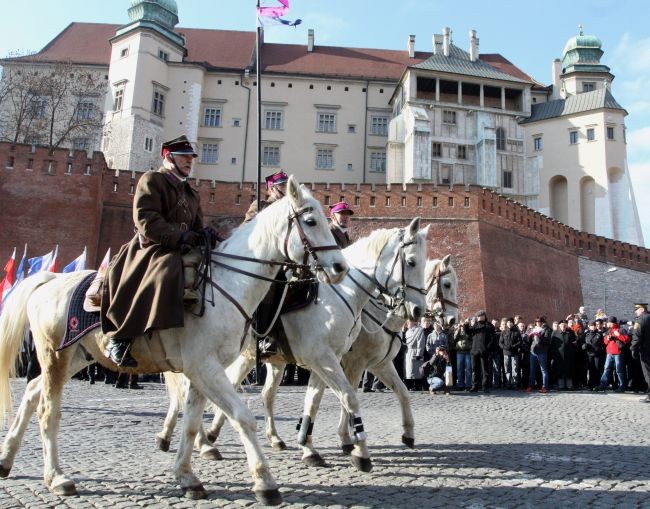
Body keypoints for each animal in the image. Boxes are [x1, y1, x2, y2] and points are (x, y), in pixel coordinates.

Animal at [0, 176, 344, 504]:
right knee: (47, 410)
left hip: (75, 357)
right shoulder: (205, 367)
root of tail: (50, 280)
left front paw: (187, 476)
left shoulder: (201, 370)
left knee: (31, 393)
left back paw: (6, 459)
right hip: (55, 356)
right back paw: (57, 477)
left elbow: (191, 423)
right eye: (311, 221)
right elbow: (243, 417)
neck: (225, 284)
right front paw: (264, 481)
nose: (339, 267)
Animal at [159, 216, 428, 466]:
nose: (418, 310)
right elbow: (349, 397)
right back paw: (203, 441)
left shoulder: (342, 361)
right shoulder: (337, 360)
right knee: (192, 391)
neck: (344, 295)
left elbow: (319, 400)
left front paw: (310, 445)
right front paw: (352, 446)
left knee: (256, 394)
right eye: (411, 262)